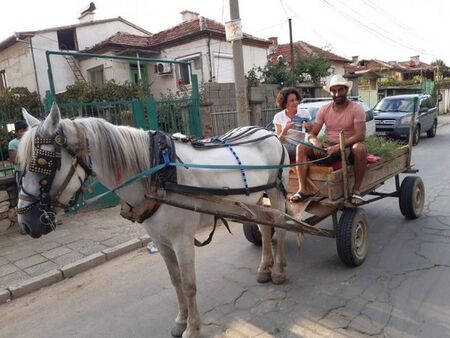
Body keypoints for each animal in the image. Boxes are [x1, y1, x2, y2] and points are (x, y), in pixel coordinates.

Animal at [16, 103, 288, 338]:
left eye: (43, 162)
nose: (27, 223)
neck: (158, 175)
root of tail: (267, 132)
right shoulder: (161, 240)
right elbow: (175, 281)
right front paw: (181, 321)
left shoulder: (182, 241)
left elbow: (189, 284)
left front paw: (193, 328)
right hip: (254, 199)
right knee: (266, 227)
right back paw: (264, 268)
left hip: (275, 192)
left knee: (282, 228)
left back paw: (278, 271)